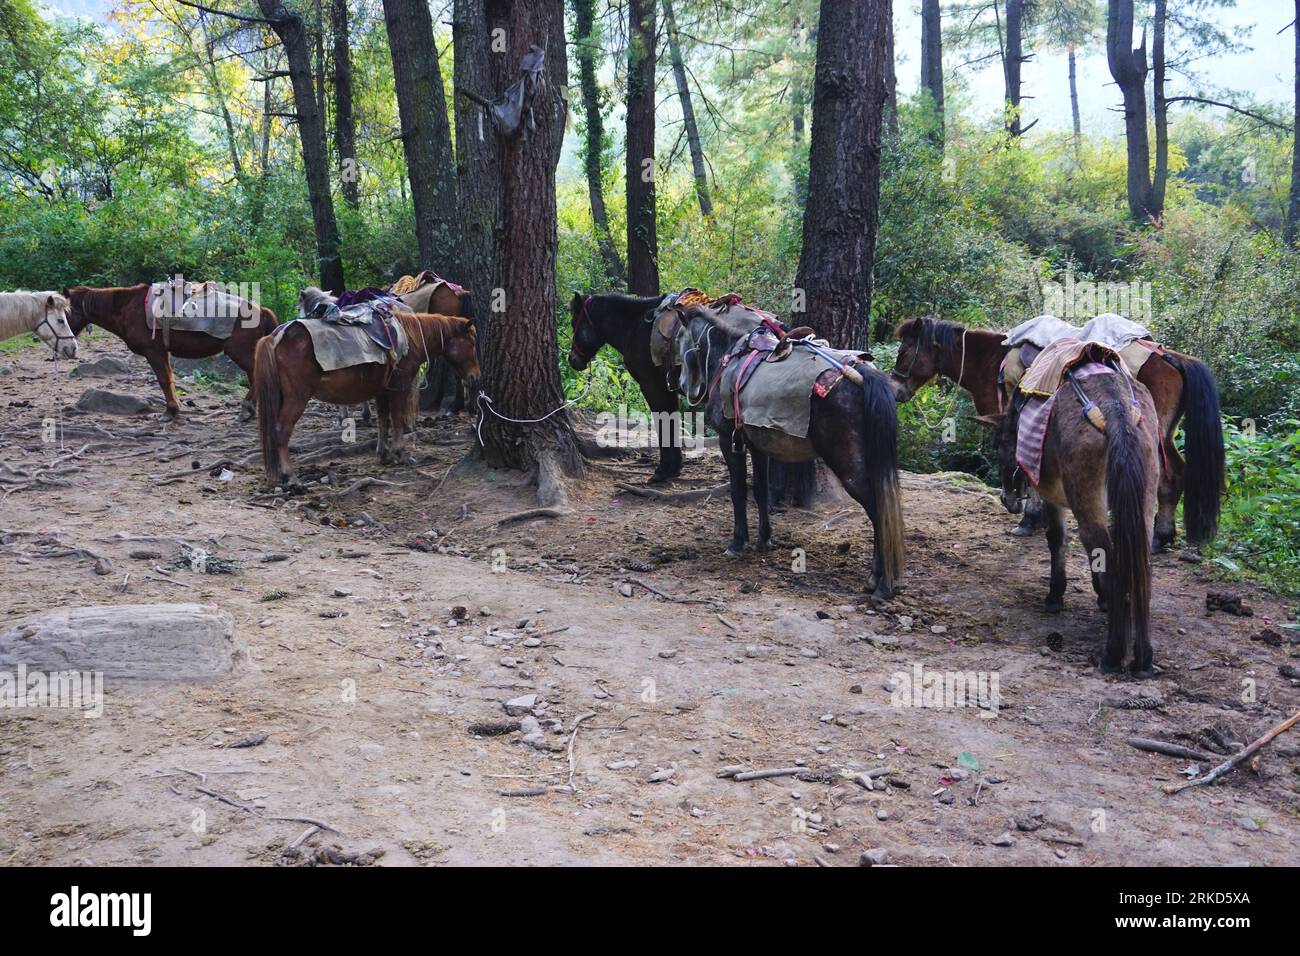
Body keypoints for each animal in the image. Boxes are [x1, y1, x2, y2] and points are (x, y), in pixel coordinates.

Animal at [65, 282, 276, 421]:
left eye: (65, 310)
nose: (69, 346)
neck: (128, 308)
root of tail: (262, 310)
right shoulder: (163, 352)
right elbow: (169, 378)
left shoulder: (154, 352)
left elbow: (164, 380)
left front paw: (170, 411)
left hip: (239, 352)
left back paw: (247, 409)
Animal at [250, 310, 480, 486]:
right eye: (472, 343)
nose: (475, 376)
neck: (408, 338)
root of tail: (276, 336)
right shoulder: (399, 388)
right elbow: (397, 419)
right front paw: (399, 453)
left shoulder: (383, 391)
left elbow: (383, 421)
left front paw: (384, 454)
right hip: (297, 399)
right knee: (281, 431)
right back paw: (290, 476)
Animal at [670, 310, 904, 600]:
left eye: (678, 338)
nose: (679, 383)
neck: (727, 356)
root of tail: (862, 375)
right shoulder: (757, 446)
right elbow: (760, 491)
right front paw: (763, 540)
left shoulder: (729, 440)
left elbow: (738, 492)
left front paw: (737, 542)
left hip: (849, 465)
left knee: (878, 510)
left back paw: (882, 583)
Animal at [889, 317, 1222, 548]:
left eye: (904, 351)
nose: (895, 390)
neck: (992, 363)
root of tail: (1171, 357)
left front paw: (1028, 518)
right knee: (1177, 473)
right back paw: (1162, 535)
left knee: (1169, 476)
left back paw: (1158, 537)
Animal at [977, 361, 1164, 681]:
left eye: (998, 444)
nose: (1007, 500)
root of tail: (1116, 408)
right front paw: (1104, 598)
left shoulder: (1051, 495)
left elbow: (1057, 540)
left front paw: (1055, 594)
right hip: (1142, 498)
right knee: (1139, 564)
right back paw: (1143, 659)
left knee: (1107, 555)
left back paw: (1113, 654)